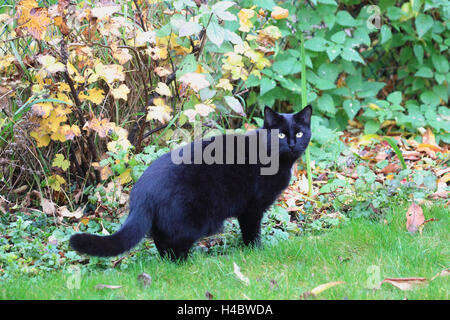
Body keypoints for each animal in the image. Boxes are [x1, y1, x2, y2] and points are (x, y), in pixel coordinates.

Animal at [70, 106, 312, 262]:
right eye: (281, 135)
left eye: (300, 133)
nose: (292, 144)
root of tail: (141, 193)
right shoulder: (251, 208)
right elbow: (252, 232)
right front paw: (257, 250)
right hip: (193, 220)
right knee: (175, 242)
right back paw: (186, 264)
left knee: (160, 241)